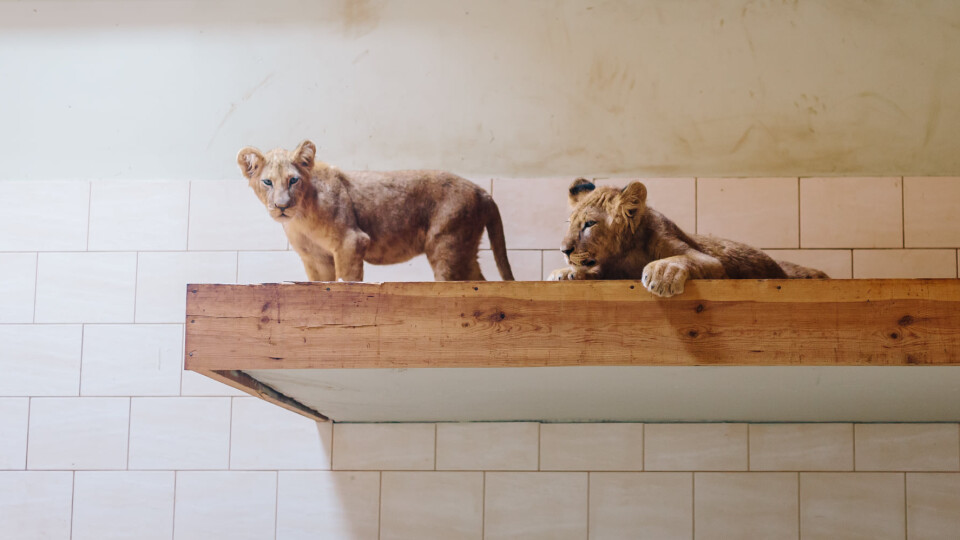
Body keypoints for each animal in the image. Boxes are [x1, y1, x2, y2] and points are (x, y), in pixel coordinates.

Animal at [237, 140, 514, 282]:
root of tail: (482, 191)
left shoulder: (351, 241)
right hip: (464, 250)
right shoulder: (315, 258)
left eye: (293, 180)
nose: (282, 206)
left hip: (447, 245)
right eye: (267, 182)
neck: (301, 218)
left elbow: (347, 280)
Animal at [547, 178, 828, 296]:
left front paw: (663, 274)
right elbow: (595, 271)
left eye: (590, 224)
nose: (564, 250)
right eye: (570, 224)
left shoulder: (713, 265)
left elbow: (682, 259)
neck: (627, 254)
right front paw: (564, 273)